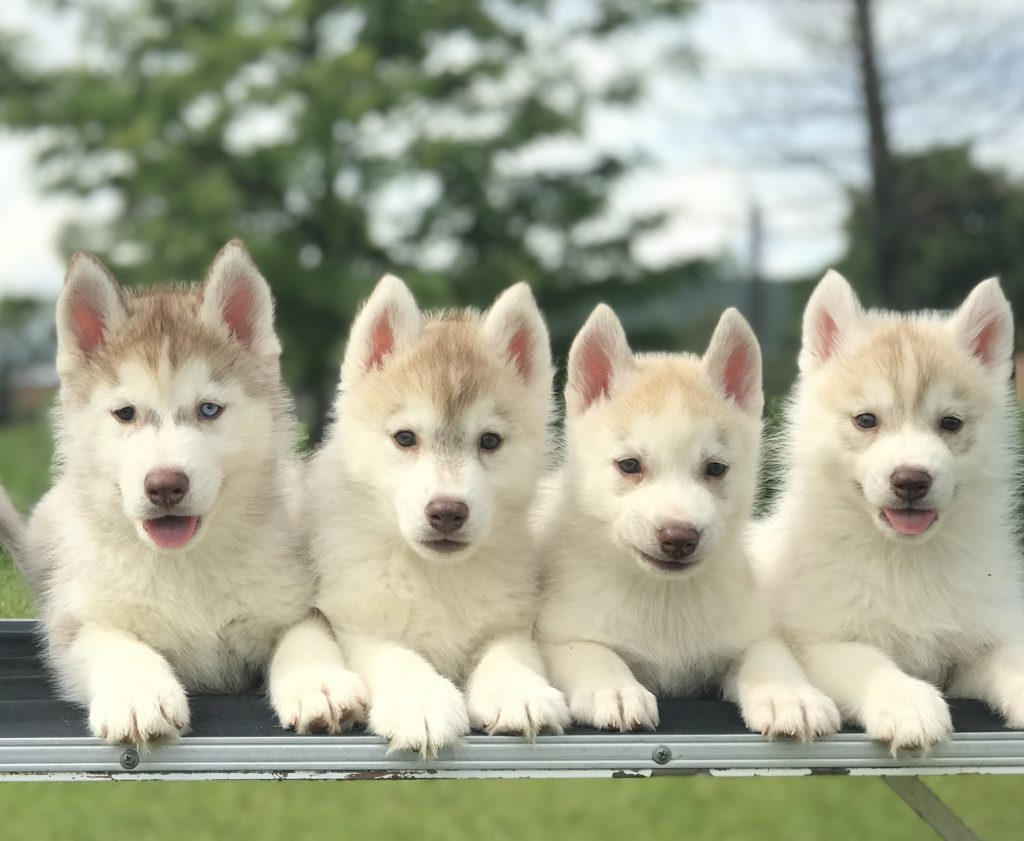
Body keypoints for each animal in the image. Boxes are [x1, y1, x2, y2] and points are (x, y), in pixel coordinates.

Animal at [14, 240, 335, 741]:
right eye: (125, 413)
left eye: (209, 410)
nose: (165, 485)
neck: (185, 565)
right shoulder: (76, 623)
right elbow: (114, 643)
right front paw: (137, 694)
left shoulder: (295, 599)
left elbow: (305, 632)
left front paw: (318, 680)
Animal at [270, 276, 569, 753]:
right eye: (405, 437)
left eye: (489, 441)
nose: (447, 511)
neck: (436, 577)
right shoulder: (356, 623)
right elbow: (397, 656)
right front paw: (421, 702)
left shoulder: (509, 621)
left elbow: (508, 653)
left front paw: (518, 691)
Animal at [536, 305, 839, 737]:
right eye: (630, 465)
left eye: (715, 468)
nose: (679, 537)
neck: (665, 600)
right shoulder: (559, 636)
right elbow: (594, 654)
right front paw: (615, 690)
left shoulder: (752, 630)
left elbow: (769, 656)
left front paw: (789, 695)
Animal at [749, 272, 1024, 749]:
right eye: (866, 420)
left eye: (950, 423)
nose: (911, 480)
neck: (904, 561)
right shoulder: (818, 639)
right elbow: (868, 661)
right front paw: (906, 703)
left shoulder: (978, 642)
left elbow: (1011, 656)